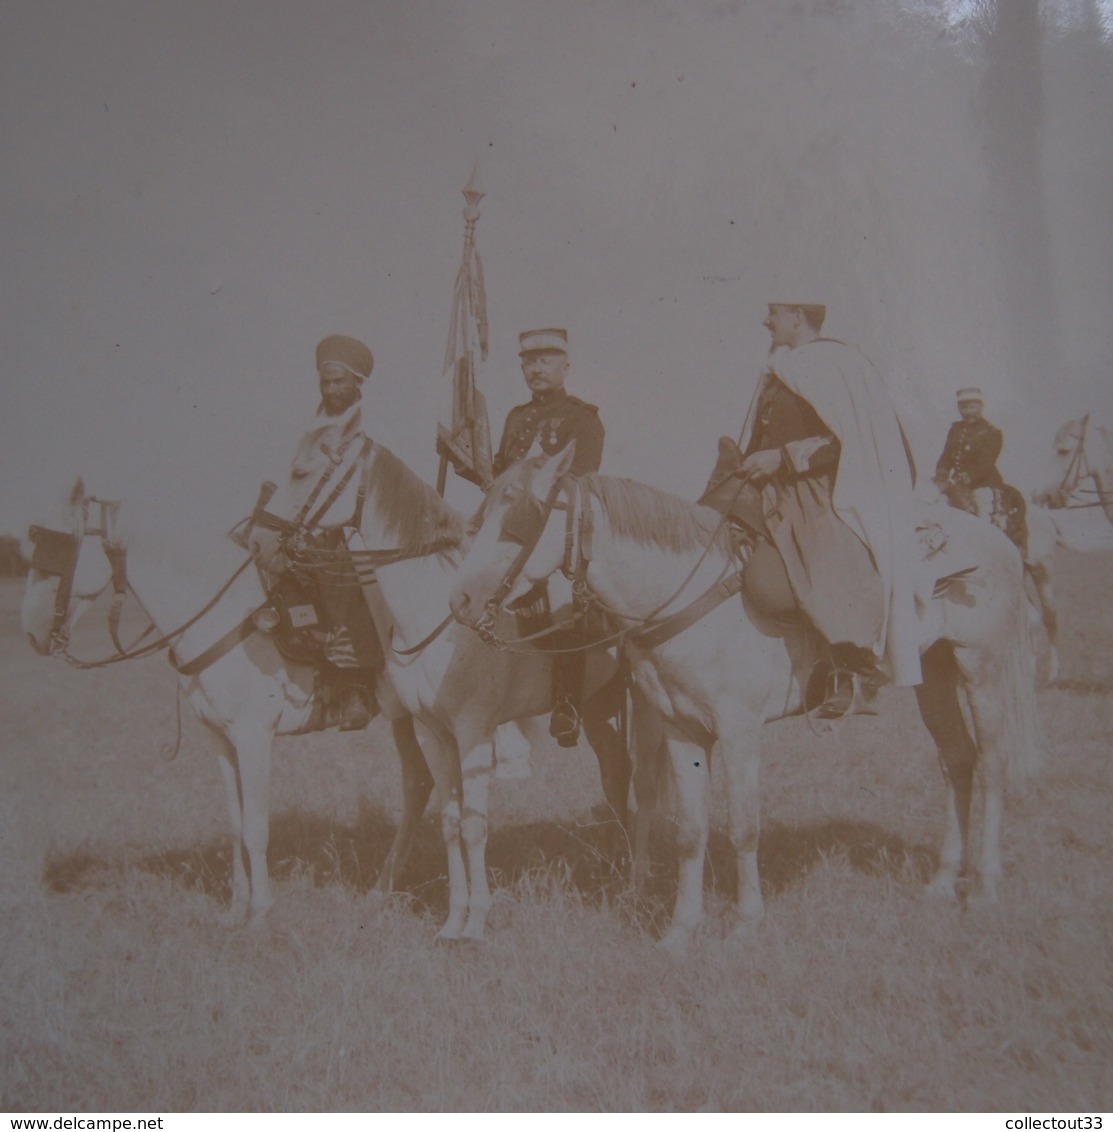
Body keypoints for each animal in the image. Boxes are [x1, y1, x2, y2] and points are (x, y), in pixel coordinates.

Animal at [22, 479, 434, 928]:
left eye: (59, 546)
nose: (30, 634)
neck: (225, 616)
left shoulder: (255, 737)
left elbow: (255, 825)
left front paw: (260, 912)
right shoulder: (220, 739)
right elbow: (236, 823)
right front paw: (236, 906)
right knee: (418, 784)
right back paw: (383, 887)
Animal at [254, 436, 634, 941]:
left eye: (301, 471)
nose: (258, 542)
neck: (433, 607)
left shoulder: (474, 732)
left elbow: (474, 825)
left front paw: (476, 923)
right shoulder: (431, 732)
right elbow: (451, 821)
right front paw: (454, 919)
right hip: (596, 706)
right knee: (615, 779)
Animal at [446, 446, 1046, 950]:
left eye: (520, 516)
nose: (460, 601)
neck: (688, 600)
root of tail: (996, 541)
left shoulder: (739, 733)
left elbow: (743, 826)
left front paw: (745, 920)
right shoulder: (681, 730)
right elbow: (690, 831)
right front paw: (681, 929)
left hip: (982, 671)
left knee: (991, 765)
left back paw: (983, 887)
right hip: (936, 675)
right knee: (958, 762)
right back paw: (944, 880)